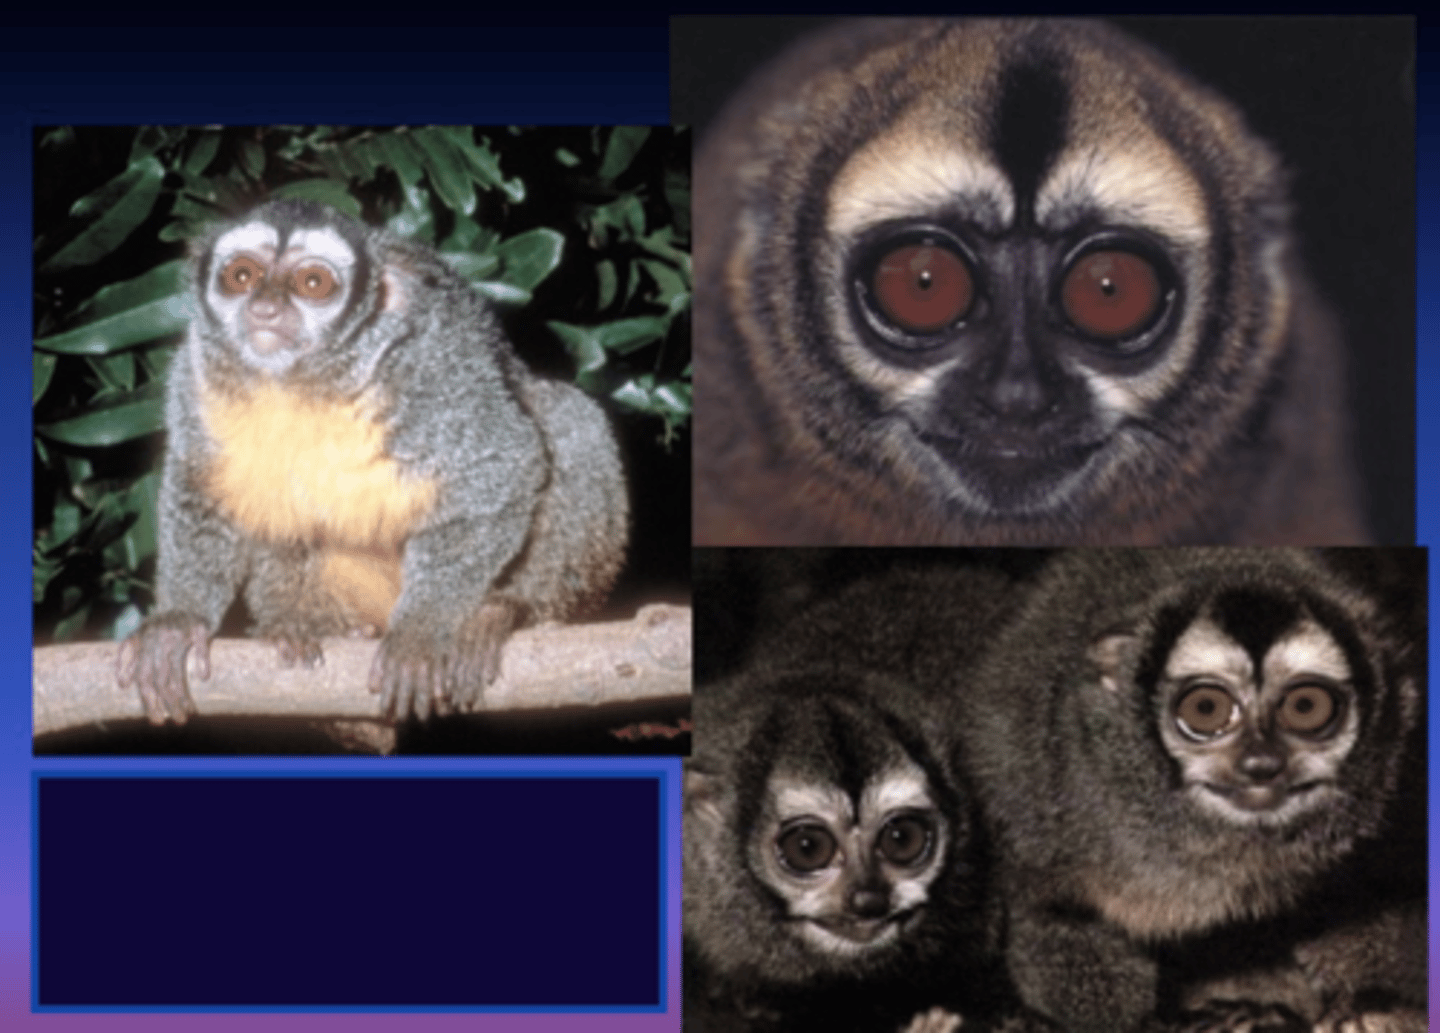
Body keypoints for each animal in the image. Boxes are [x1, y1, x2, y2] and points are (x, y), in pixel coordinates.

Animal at [116, 198, 628, 724]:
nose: (265, 307)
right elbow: (198, 486)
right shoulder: (194, 373)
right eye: (241, 275)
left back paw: (506, 612)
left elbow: (504, 463)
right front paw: (178, 622)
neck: (301, 378)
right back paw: (304, 625)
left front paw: (421, 632)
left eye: (313, 283)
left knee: (569, 416)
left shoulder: (429, 367)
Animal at [948, 549, 1425, 1033]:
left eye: (1306, 706)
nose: (1261, 764)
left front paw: (1366, 999)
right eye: (1207, 708)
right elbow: (1055, 912)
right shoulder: (1037, 790)